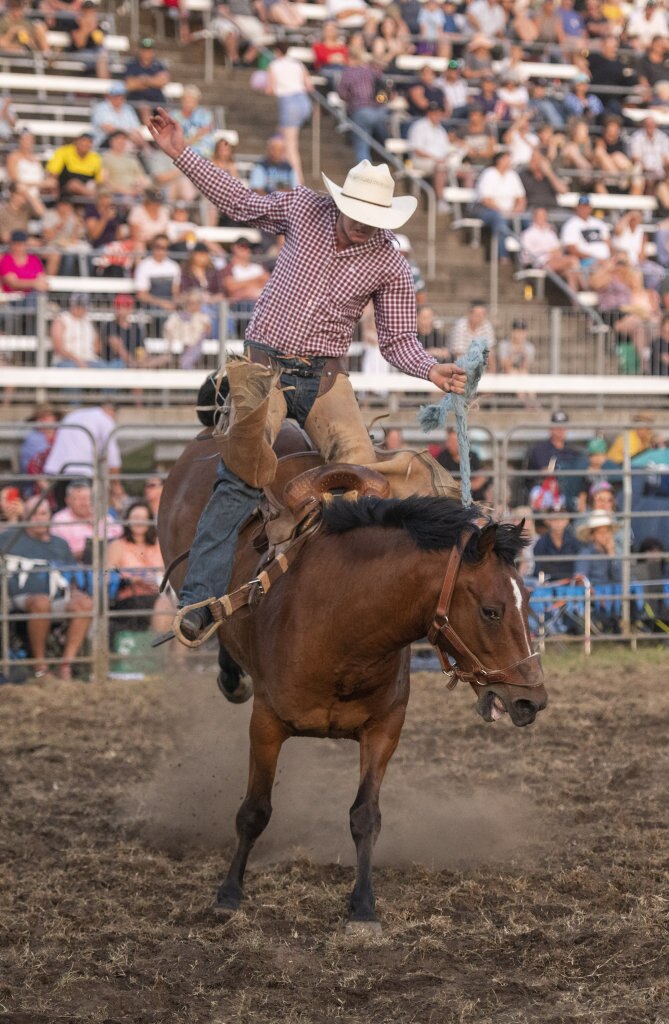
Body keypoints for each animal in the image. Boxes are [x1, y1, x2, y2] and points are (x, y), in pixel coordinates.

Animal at [158, 428, 545, 933]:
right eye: (492, 610)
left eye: (528, 602)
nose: (531, 700)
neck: (343, 624)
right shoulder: (266, 724)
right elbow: (254, 811)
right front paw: (228, 894)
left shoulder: (384, 729)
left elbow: (365, 816)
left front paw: (363, 906)